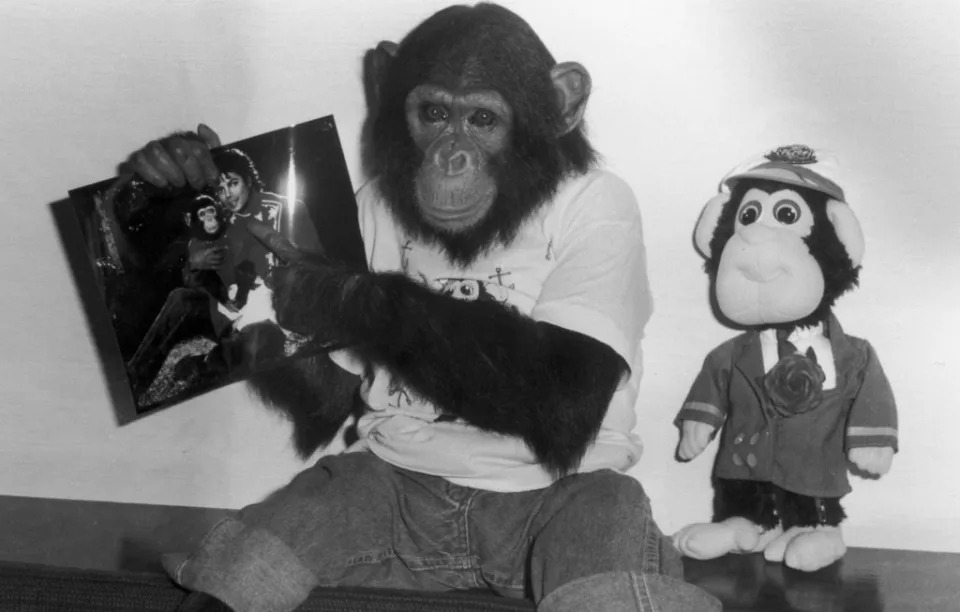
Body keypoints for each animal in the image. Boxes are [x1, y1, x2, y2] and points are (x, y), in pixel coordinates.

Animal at [124, 2, 720, 608]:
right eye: (433, 113)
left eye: (482, 120)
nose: (451, 158)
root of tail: (464, 572)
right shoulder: (360, 203)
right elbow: (331, 395)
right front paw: (177, 157)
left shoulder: (608, 212)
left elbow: (569, 378)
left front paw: (325, 290)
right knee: (254, 554)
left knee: (604, 543)